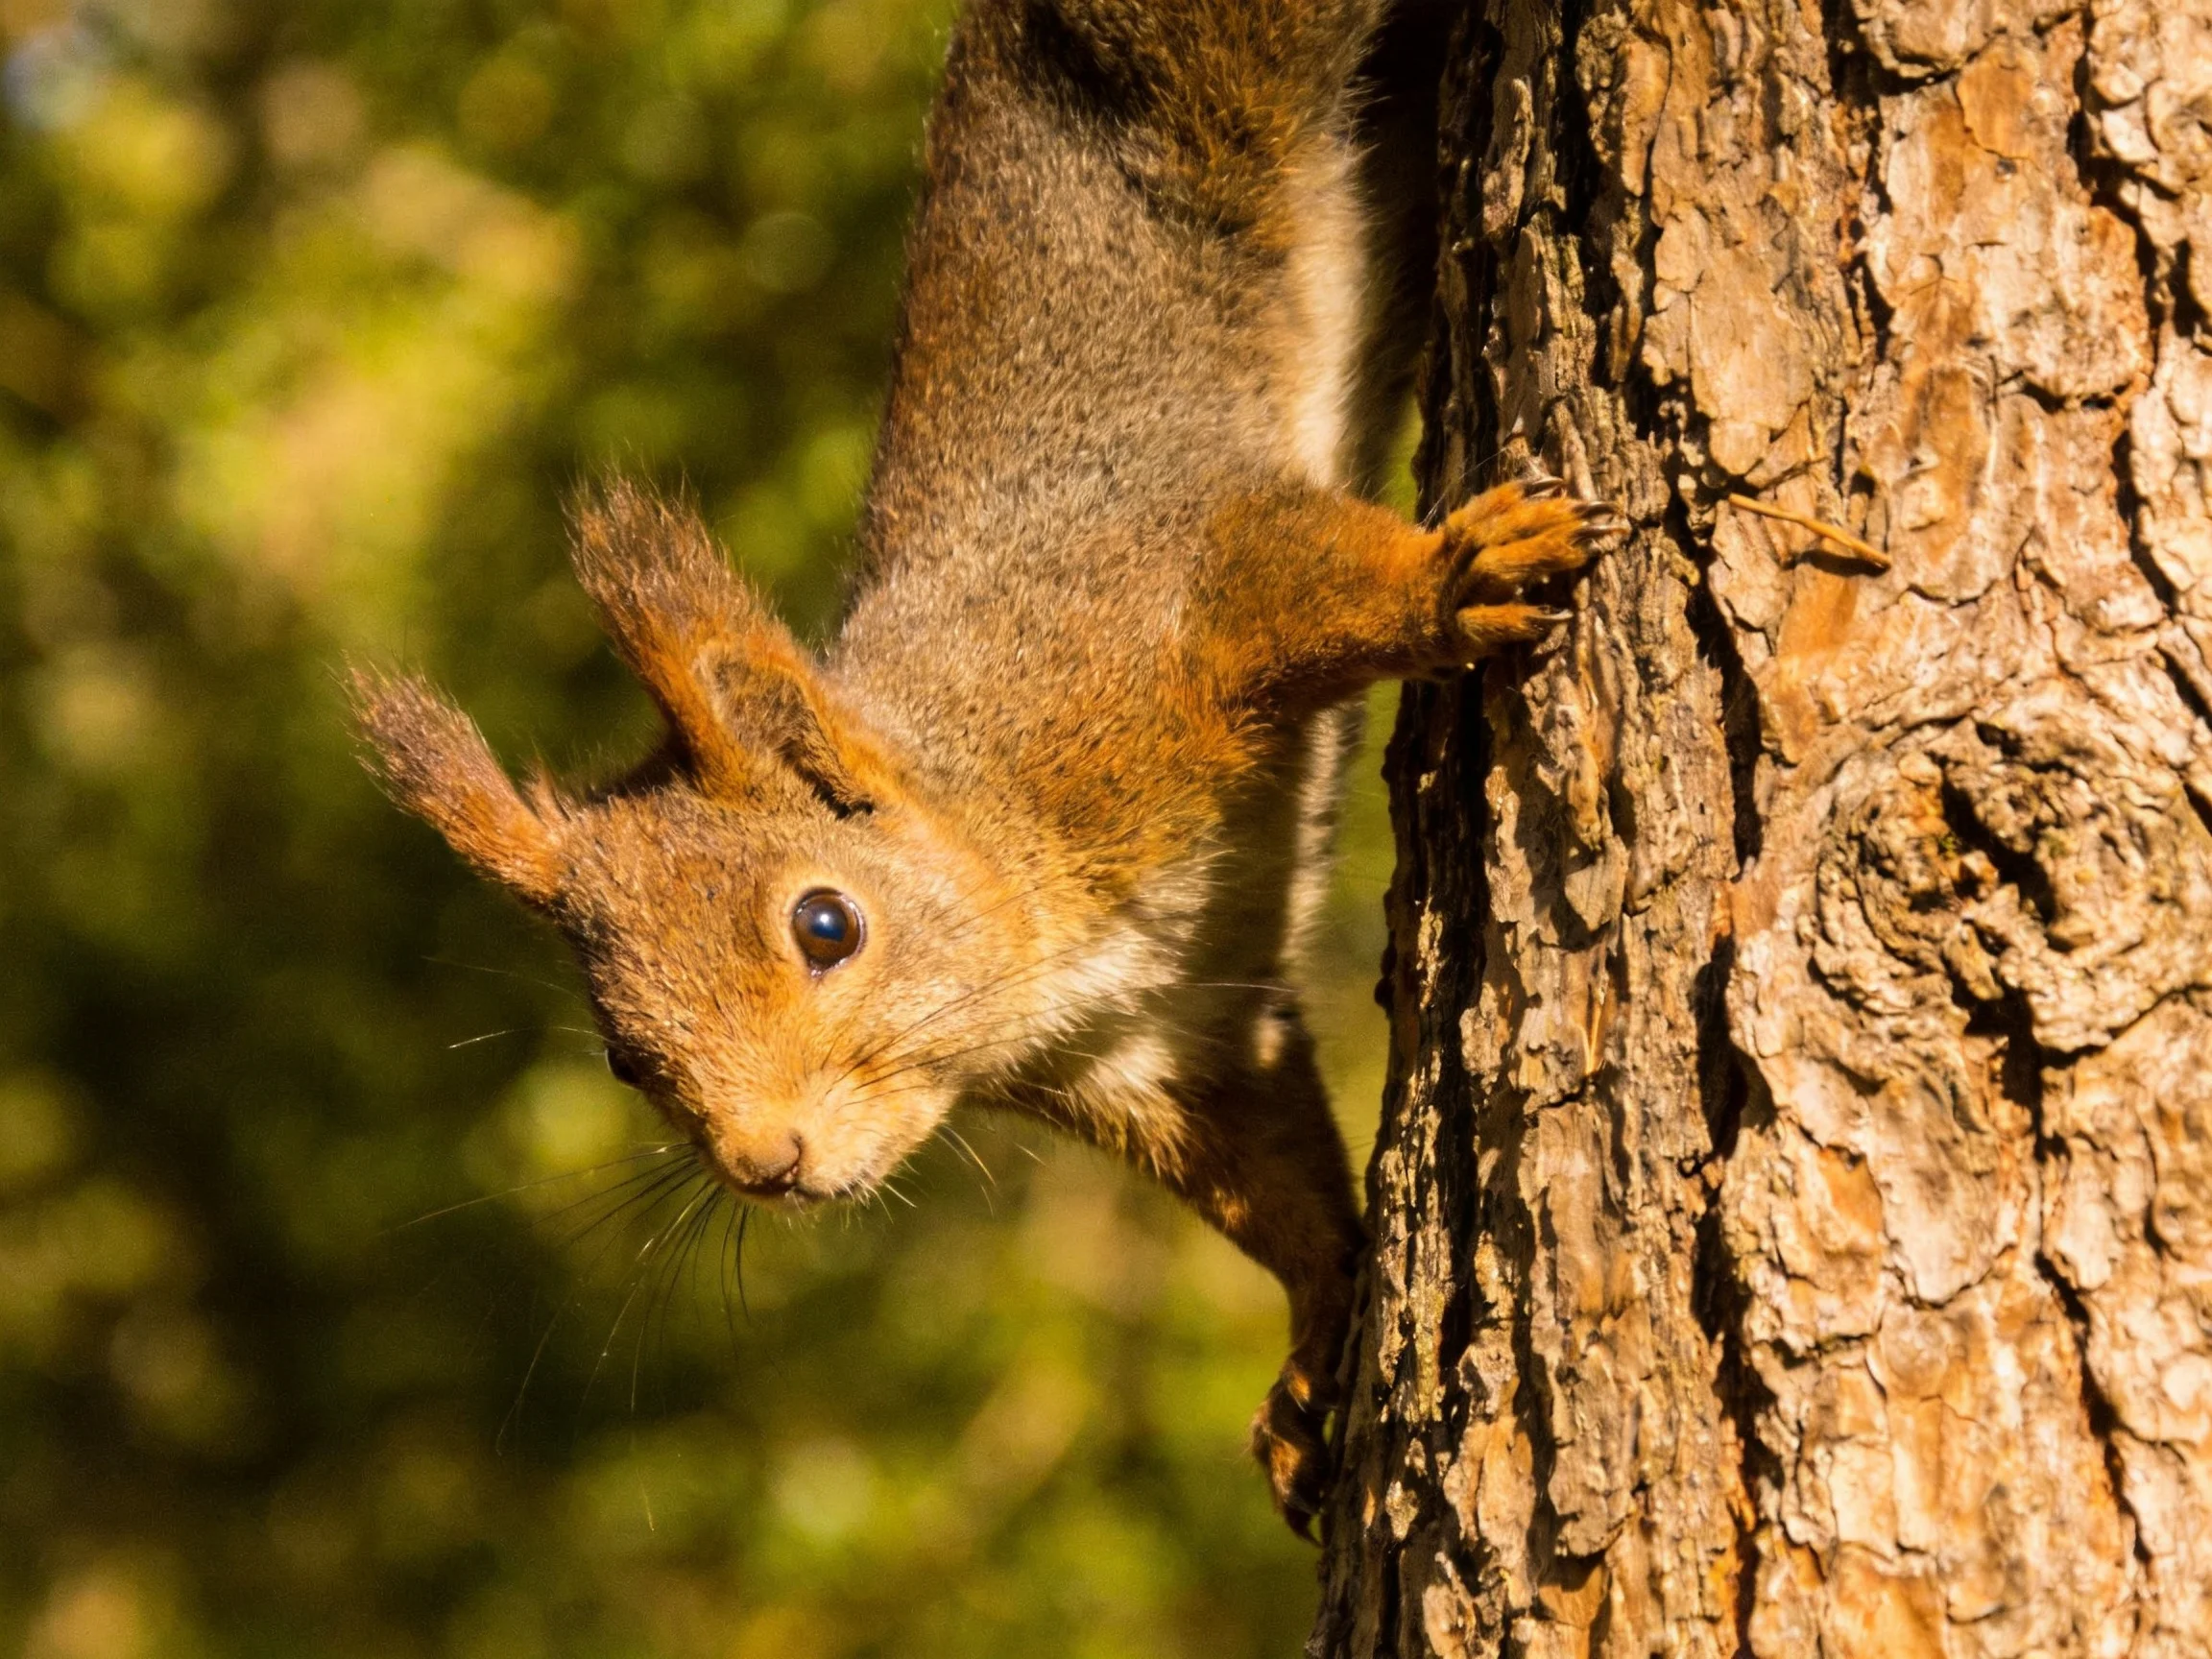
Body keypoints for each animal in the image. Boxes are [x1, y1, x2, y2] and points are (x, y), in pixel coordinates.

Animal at [353, 0, 1609, 1535]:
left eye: (826, 924)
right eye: (621, 1059)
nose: (765, 1166)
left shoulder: (1167, 591)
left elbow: (1311, 571)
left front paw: (1459, 580)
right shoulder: (1161, 1051)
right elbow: (1276, 1183)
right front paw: (1319, 1350)